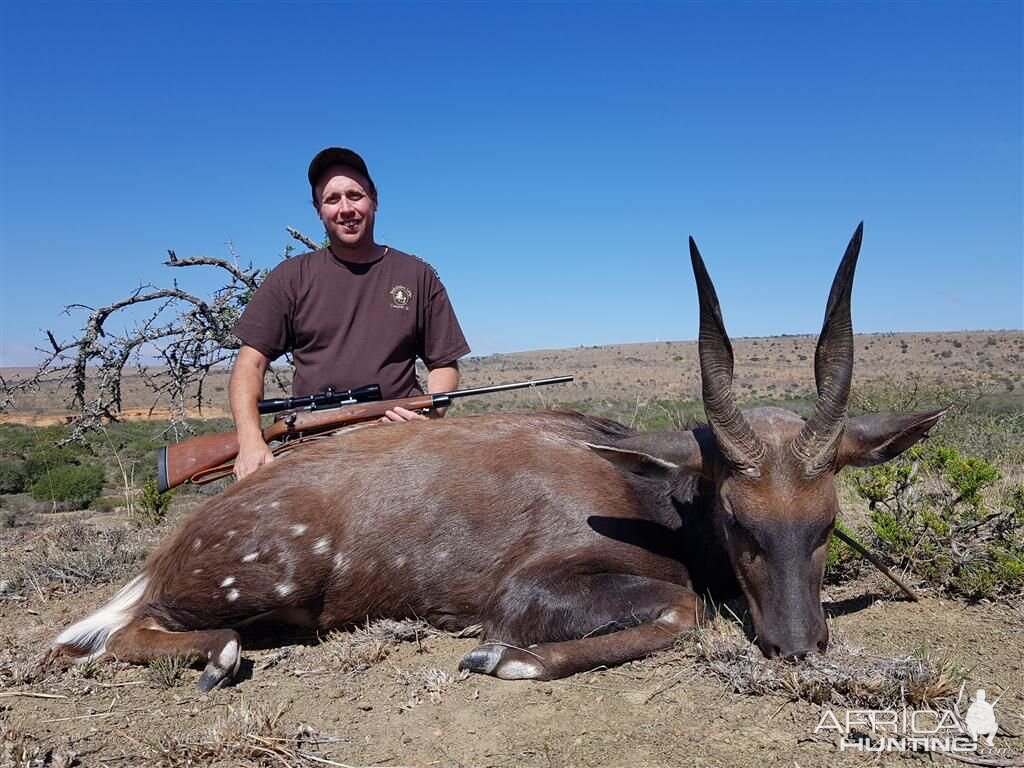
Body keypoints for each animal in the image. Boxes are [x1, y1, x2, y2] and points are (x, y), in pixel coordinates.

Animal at [48, 224, 942, 692]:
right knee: (108, 637)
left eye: (826, 522)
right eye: (736, 520)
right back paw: (217, 657)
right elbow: (682, 609)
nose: (798, 646)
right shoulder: (527, 588)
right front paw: (504, 657)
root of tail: (169, 551)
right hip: (264, 585)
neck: (642, 494)